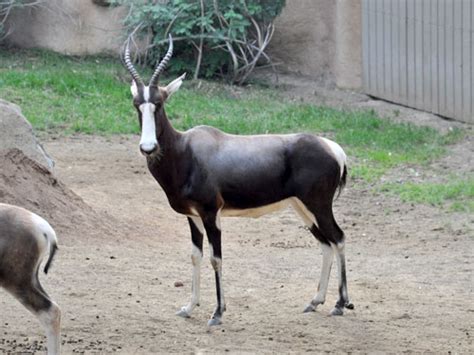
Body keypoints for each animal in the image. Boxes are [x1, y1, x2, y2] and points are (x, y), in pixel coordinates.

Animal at [122, 35, 352, 326]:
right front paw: (189, 307)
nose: (148, 147)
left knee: (339, 238)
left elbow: (215, 259)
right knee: (325, 243)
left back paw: (341, 304)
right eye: (136, 105)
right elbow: (195, 256)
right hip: (302, 208)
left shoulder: (211, 213)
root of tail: (333, 148)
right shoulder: (192, 216)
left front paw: (217, 313)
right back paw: (315, 301)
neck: (186, 150)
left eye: (160, 103)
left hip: (318, 206)